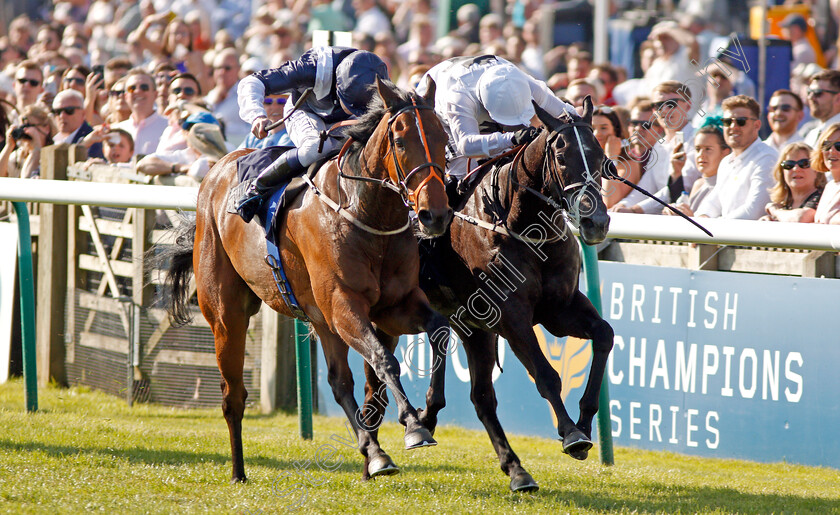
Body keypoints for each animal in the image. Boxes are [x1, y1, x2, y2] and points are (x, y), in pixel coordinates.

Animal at [158, 77, 452, 484]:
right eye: (400, 140)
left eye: (444, 136)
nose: (434, 214)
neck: (365, 212)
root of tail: (217, 169)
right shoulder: (344, 305)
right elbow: (385, 361)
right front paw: (414, 426)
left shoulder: (394, 305)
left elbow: (438, 331)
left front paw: (429, 412)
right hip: (228, 316)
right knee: (233, 396)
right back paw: (239, 472)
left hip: (320, 319)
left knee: (339, 382)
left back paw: (374, 455)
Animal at [416, 99, 612, 494]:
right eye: (563, 157)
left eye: (600, 156)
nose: (596, 222)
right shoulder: (511, 316)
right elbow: (546, 375)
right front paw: (571, 434)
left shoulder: (559, 309)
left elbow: (604, 334)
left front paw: (584, 421)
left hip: (474, 328)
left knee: (479, 396)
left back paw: (514, 469)